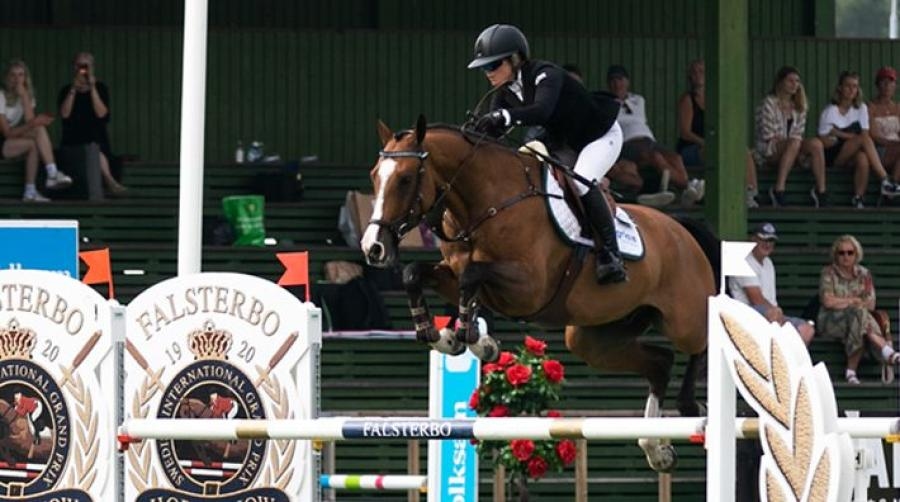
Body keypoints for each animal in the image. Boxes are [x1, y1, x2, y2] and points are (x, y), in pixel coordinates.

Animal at [360, 115, 716, 472]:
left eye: (406, 179)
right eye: (375, 175)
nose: (372, 247)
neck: (484, 202)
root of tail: (682, 230)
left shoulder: (529, 287)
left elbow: (472, 278)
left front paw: (470, 336)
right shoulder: (457, 273)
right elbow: (417, 274)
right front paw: (447, 336)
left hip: (683, 320)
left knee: (701, 343)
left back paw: (689, 407)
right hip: (596, 338)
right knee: (660, 362)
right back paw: (656, 448)